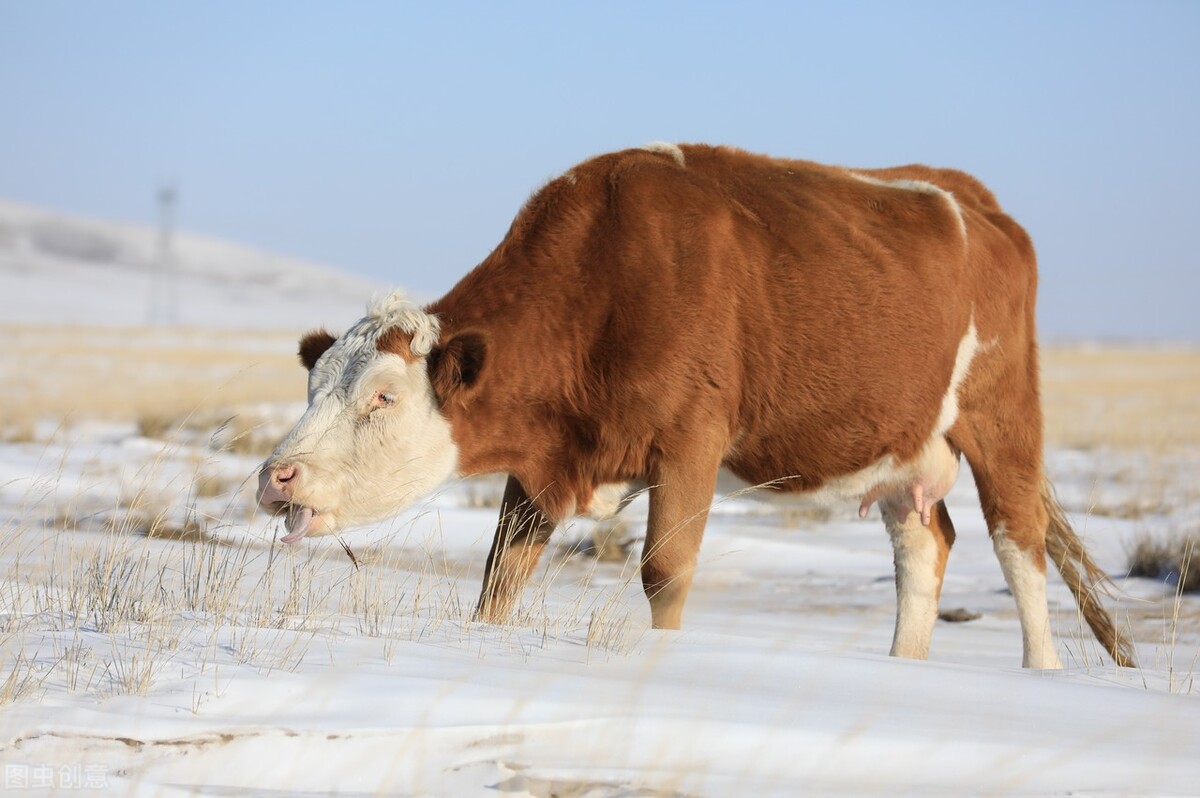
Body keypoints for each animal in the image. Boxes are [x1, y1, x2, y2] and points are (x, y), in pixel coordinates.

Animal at [255, 141, 1132, 667]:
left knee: (1021, 546)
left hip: (1002, 418)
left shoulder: (690, 443)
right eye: (314, 383)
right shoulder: (545, 464)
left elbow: (664, 574)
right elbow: (500, 575)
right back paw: (901, 668)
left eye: (382, 396)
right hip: (902, 444)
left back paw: (1038, 672)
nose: (275, 476)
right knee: (925, 546)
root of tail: (970, 197)